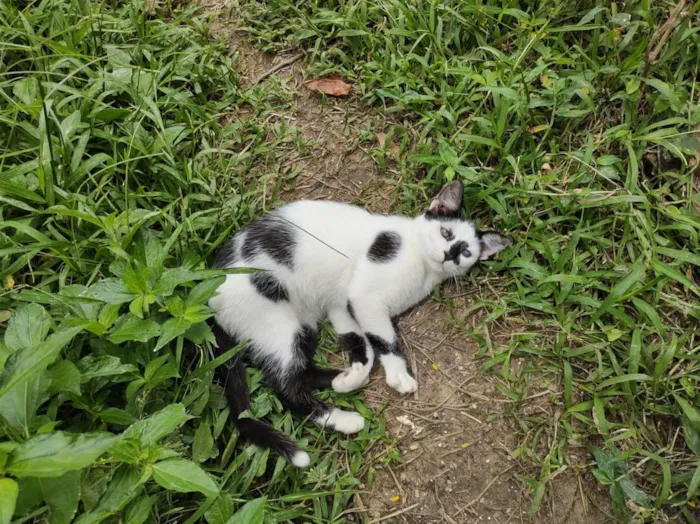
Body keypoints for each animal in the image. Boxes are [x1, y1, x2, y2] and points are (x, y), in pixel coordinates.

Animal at [211, 181, 512, 466]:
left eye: (466, 252)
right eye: (446, 233)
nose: (449, 254)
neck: (423, 268)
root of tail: (209, 298)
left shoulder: (341, 303)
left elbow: (361, 343)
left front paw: (353, 375)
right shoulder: (366, 296)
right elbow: (383, 339)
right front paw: (397, 374)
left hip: (302, 321)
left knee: (302, 370)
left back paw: (340, 378)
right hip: (274, 320)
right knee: (286, 387)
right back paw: (342, 419)